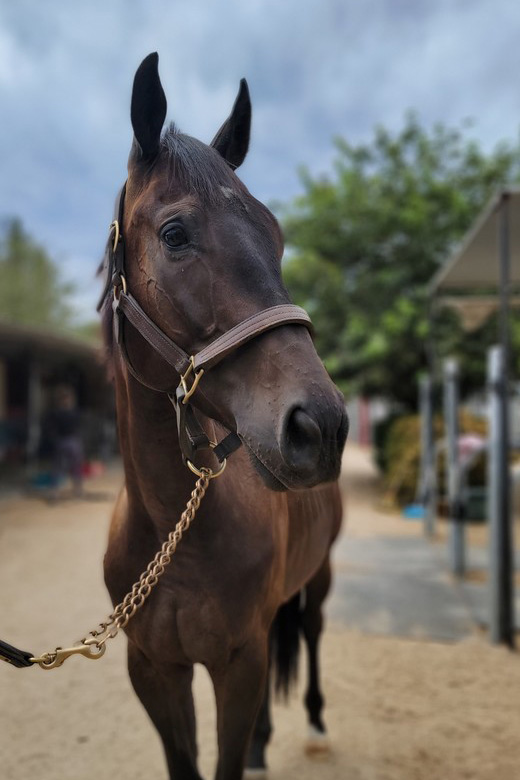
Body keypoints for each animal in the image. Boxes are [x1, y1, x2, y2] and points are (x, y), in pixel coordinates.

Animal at [99, 51, 348, 776]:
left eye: (277, 236)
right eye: (175, 234)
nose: (321, 426)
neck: (173, 535)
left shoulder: (238, 663)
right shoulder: (155, 670)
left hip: (318, 579)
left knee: (311, 634)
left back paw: (314, 724)